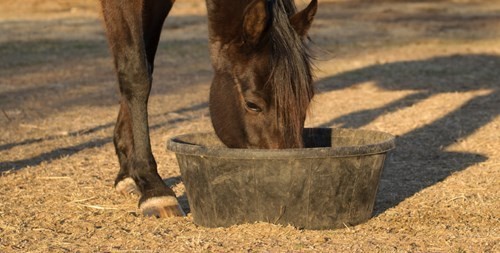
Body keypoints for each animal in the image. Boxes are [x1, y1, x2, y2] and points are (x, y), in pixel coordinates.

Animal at [100, 0, 318, 217]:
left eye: (307, 99)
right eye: (252, 104)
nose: (288, 179)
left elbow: (147, 62)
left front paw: (128, 174)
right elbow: (137, 73)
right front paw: (153, 188)